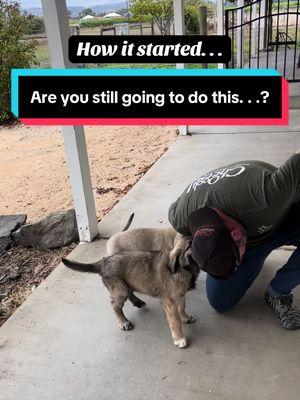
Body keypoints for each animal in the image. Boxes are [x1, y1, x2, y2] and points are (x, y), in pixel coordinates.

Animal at [61, 245, 198, 348]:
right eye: (188, 247)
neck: (182, 268)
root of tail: (103, 262)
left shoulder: (180, 295)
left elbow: (182, 307)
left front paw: (185, 317)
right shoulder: (169, 301)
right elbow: (175, 320)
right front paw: (179, 338)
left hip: (126, 285)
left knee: (129, 292)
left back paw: (138, 302)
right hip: (120, 289)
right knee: (115, 305)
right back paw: (123, 322)